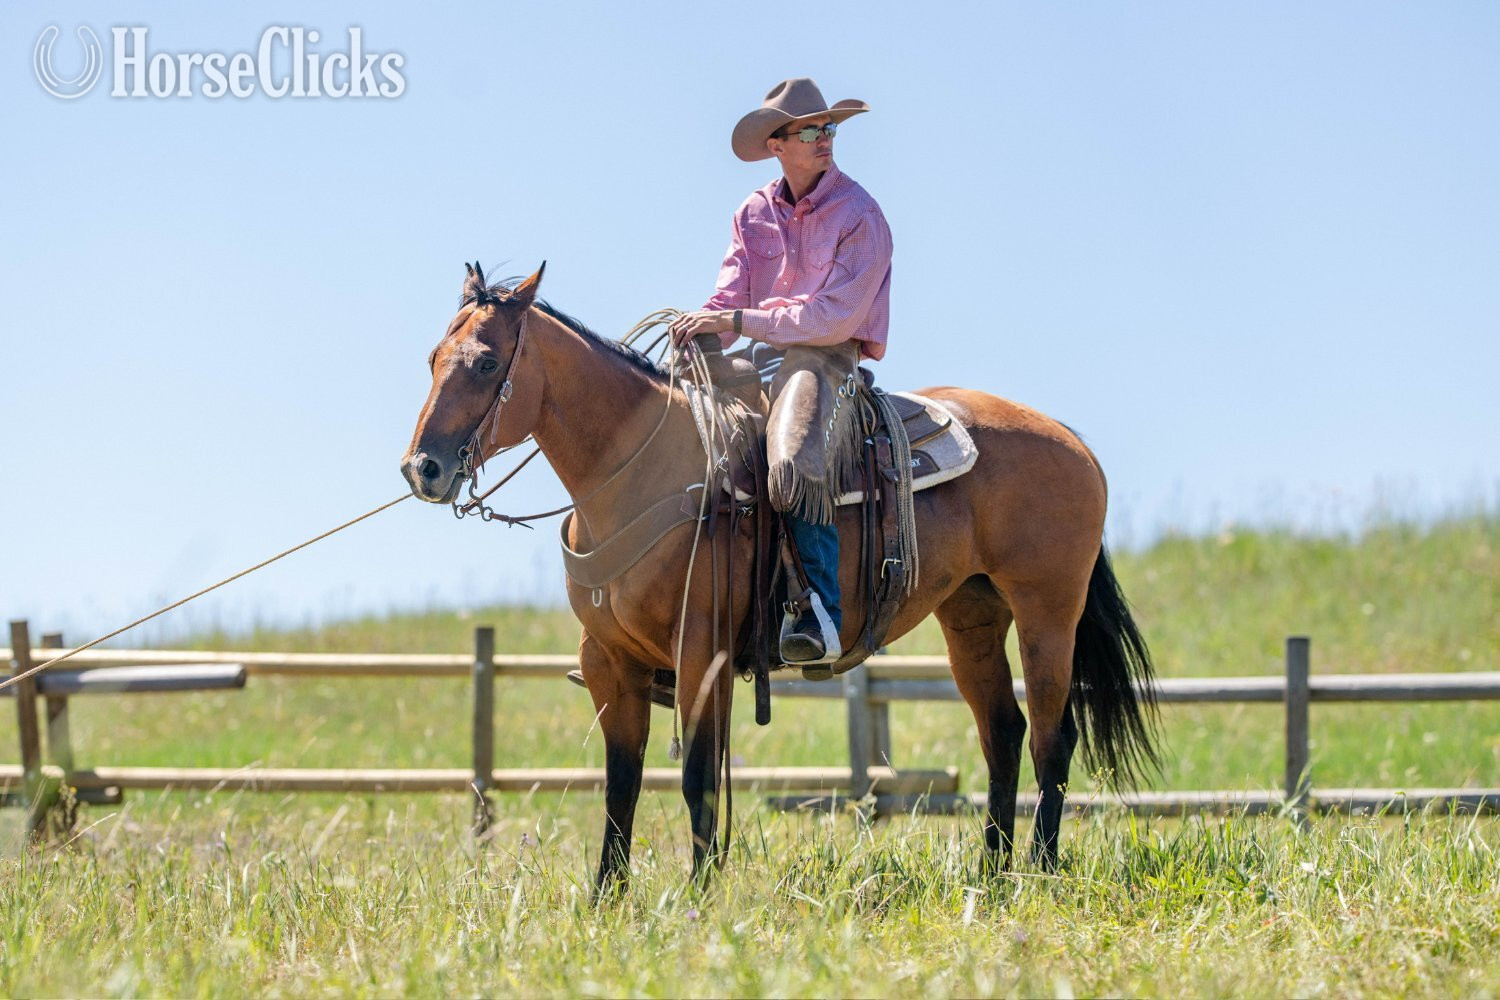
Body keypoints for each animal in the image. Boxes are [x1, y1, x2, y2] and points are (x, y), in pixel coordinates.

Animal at [401, 263, 1158, 893]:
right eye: (432, 359)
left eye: (487, 362)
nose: (422, 469)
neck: (637, 474)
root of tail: (1067, 437)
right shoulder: (609, 660)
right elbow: (622, 784)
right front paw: (606, 902)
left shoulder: (700, 650)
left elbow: (698, 779)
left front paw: (699, 898)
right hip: (972, 615)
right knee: (1001, 732)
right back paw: (993, 876)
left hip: (1047, 611)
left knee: (1052, 736)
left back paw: (1041, 871)